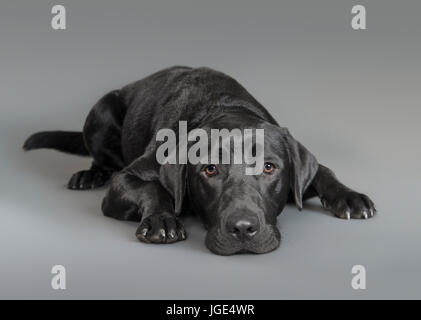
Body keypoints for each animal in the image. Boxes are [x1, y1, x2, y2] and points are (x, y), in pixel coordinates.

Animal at [24, 67, 376, 255]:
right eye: (209, 169)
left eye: (268, 167)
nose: (243, 229)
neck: (225, 106)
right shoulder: (127, 178)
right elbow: (153, 189)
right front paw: (162, 220)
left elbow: (323, 171)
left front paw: (350, 197)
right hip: (102, 108)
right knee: (103, 161)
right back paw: (88, 175)